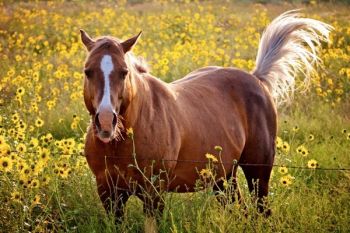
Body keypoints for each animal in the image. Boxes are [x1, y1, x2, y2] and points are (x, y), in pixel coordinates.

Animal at [80, 10, 332, 222]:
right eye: (87, 71)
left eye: (124, 72)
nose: (105, 122)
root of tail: (256, 78)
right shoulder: (109, 193)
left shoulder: (154, 193)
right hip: (224, 176)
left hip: (258, 171)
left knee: (262, 210)